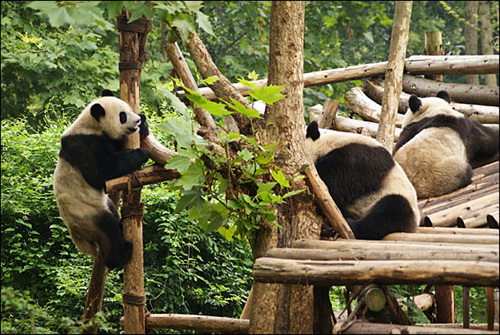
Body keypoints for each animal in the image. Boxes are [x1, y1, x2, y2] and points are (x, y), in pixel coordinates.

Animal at [54, 90, 149, 270]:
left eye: (129, 109)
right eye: (122, 116)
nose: (137, 120)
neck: (92, 125)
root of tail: (79, 239)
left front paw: (144, 125)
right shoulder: (85, 146)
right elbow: (102, 174)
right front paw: (142, 153)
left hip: (102, 205)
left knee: (112, 212)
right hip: (87, 215)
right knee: (108, 230)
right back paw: (120, 255)